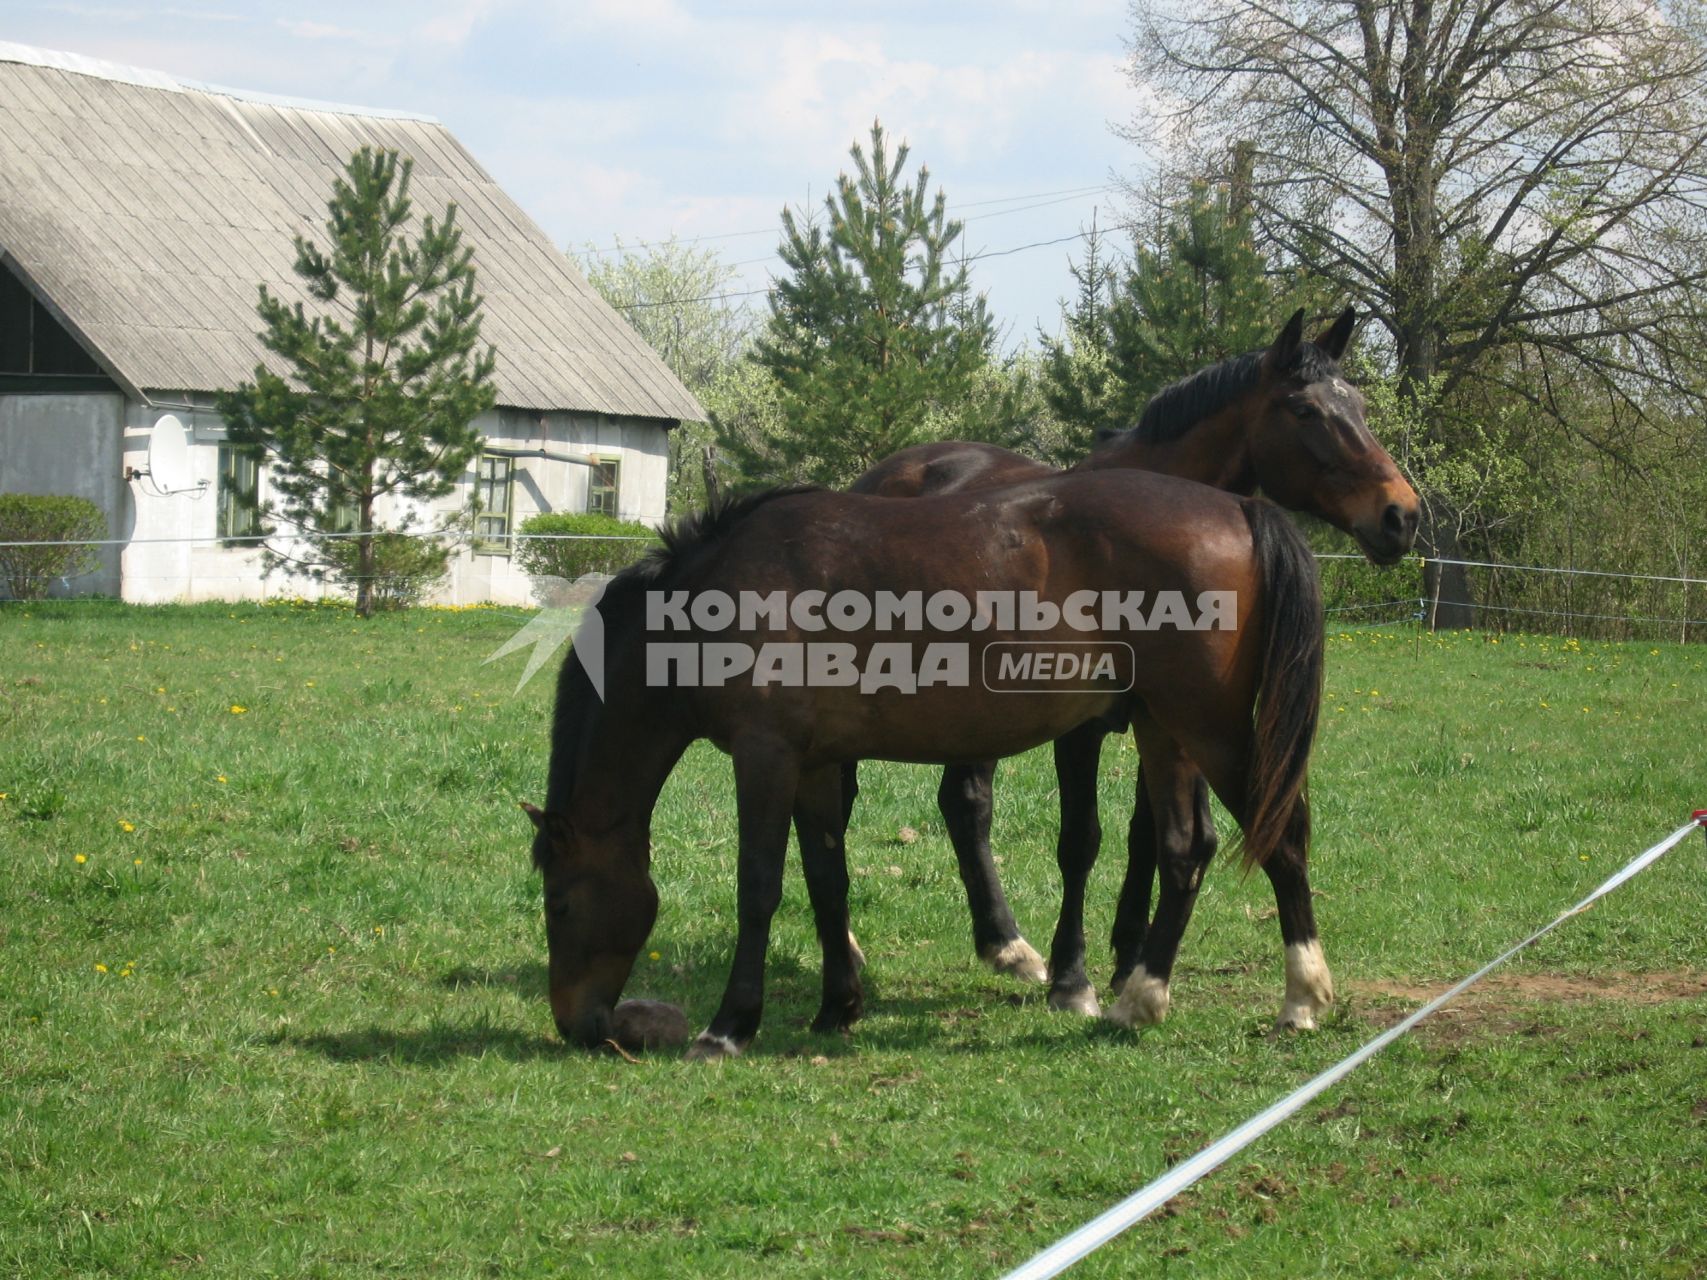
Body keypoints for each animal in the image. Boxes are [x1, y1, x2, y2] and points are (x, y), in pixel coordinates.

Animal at [525, 471, 1324, 1064]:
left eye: (558, 904)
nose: (576, 1024)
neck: (716, 596)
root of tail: (1238, 506)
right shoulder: (816, 766)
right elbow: (828, 882)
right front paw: (837, 1005)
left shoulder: (765, 758)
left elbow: (759, 889)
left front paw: (729, 1027)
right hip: (1164, 731)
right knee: (1186, 851)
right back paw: (1141, 999)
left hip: (1208, 729)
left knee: (1279, 839)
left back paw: (1302, 997)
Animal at [846, 305, 1420, 1030]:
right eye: (1304, 410)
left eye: (1360, 405)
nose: (1401, 515)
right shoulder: (1083, 731)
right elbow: (1081, 842)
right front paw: (1075, 978)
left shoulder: (1165, 722)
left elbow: (1148, 838)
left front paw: (1127, 959)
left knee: (965, 803)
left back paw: (1006, 945)